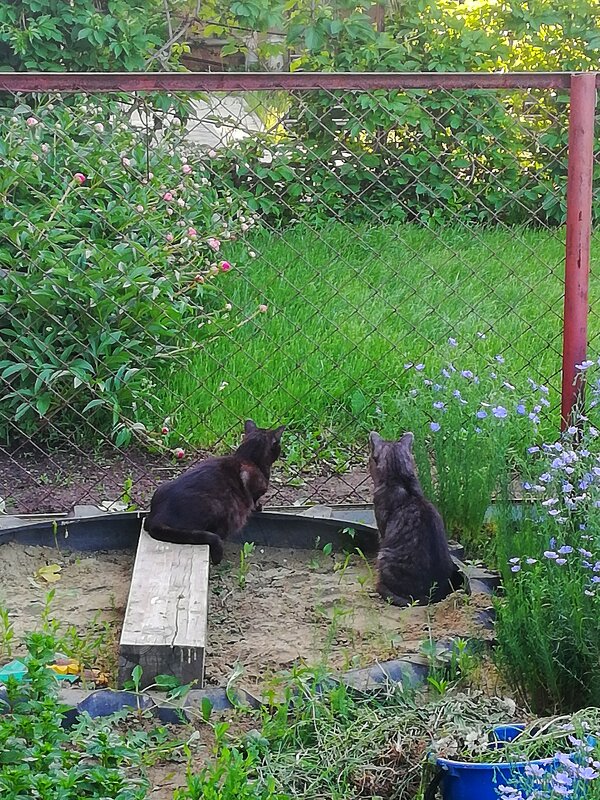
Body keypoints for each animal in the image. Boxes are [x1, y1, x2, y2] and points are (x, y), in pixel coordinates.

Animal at [146, 418, 284, 564]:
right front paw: (258, 507)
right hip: (217, 507)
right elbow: (255, 499)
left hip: (161, 488)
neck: (247, 457)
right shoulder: (255, 486)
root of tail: (156, 518)